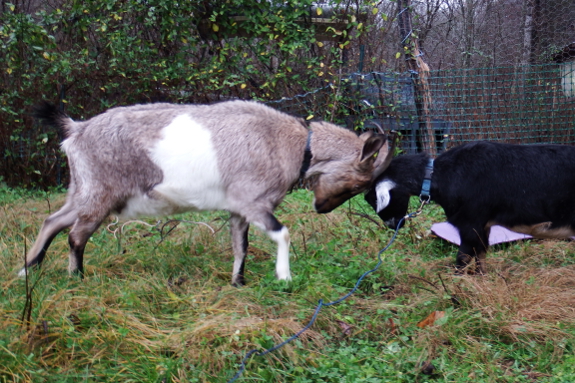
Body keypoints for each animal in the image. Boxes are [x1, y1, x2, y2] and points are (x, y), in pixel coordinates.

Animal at [21, 100, 392, 286]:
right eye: (358, 184)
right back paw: (77, 277)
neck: (292, 143)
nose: (322, 209)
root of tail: (76, 130)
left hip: (82, 190)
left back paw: (28, 270)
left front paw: (238, 282)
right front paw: (284, 277)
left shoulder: (238, 209)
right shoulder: (251, 201)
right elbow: (282, 232)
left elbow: (241, 245)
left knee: (53, 221)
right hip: (100, 194)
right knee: (75, 235)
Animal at [366, 141, 575, 272]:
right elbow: (480, 255)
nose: (392, 225)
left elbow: (463, 258)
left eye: (372, 199)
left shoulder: (470, 222)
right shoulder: (483, 226)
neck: (442, 175)